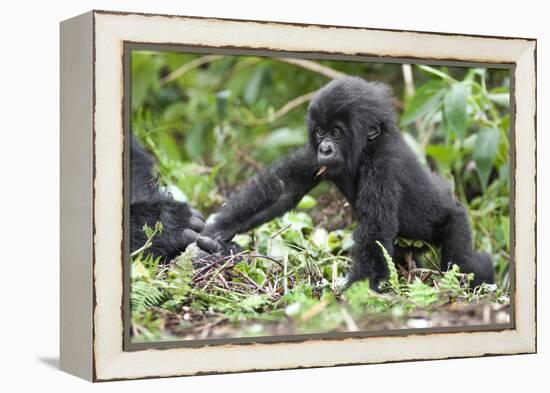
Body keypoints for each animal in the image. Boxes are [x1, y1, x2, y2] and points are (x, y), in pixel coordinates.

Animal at [198, 76, 496, 290]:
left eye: (337, 132)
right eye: (320, 131)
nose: (325, 149)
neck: (365, 149)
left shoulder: (382, 166)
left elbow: (374, 231)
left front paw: (354, 290)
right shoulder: (314, 157)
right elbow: (282, 188)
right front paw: (220, 228)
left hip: (456, 221)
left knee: (463, 261)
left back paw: (485, 274)